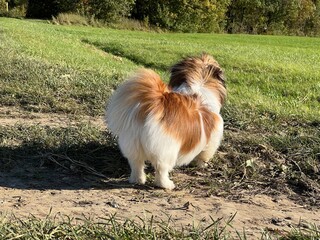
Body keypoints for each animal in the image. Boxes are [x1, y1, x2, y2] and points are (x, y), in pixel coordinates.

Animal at [106, 54, 226, 189]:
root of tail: (156, 103)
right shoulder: (213, 137)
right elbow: (204, 153)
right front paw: (202, 165)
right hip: (166, 151)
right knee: (161, 169)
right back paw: (166, 185)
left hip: (133, 144)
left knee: (137, 164)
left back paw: (137, 180)